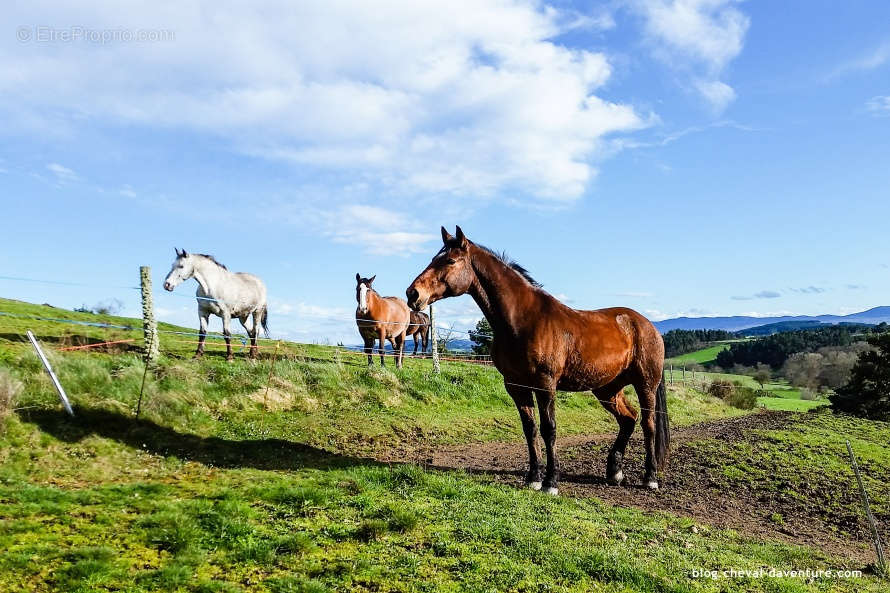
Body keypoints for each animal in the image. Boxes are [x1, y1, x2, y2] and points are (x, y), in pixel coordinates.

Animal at [402, 225, 664, 490]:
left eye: (450, 260)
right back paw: (614, 472)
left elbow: (549, 429)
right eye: (433, 259)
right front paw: (534, 478)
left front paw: (551, 482)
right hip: (607, 389)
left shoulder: (545, 385)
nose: (413, 293)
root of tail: (646, 325)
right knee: (628, 419)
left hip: (645, 385)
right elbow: (530, 429)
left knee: (648, 424)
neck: (523, 320)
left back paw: (650, 478)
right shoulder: (516, 386)